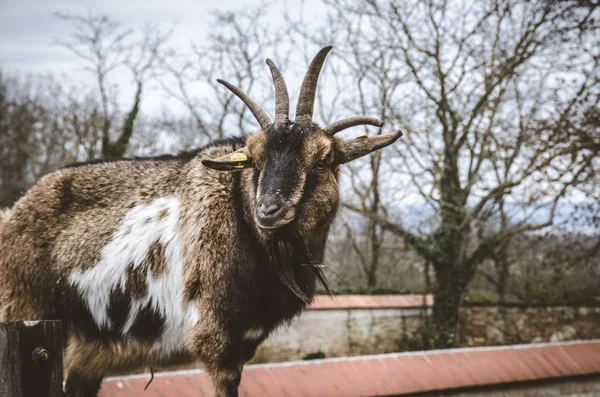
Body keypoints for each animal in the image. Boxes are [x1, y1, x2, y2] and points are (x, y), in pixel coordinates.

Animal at [0, 44, 404, 394]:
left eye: (322, 160)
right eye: (253, 159)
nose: (268, 211)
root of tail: (11, 216)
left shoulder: (244, 341)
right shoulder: (215, 338)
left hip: (84, 356)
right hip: (27, 313)